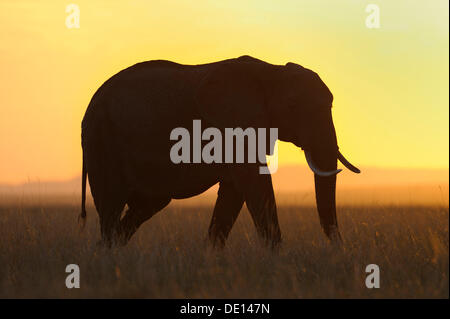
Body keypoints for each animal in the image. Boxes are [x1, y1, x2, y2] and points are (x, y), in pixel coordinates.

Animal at [80, 55, 358, 248]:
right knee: (111, 206)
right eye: (292, 106)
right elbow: (254, 182)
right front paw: (279, 257)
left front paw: (211, 259)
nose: (339, 247)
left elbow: (233, 193)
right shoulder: (233, 124)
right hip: (102, 140)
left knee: (145, 205)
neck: (270, 70)